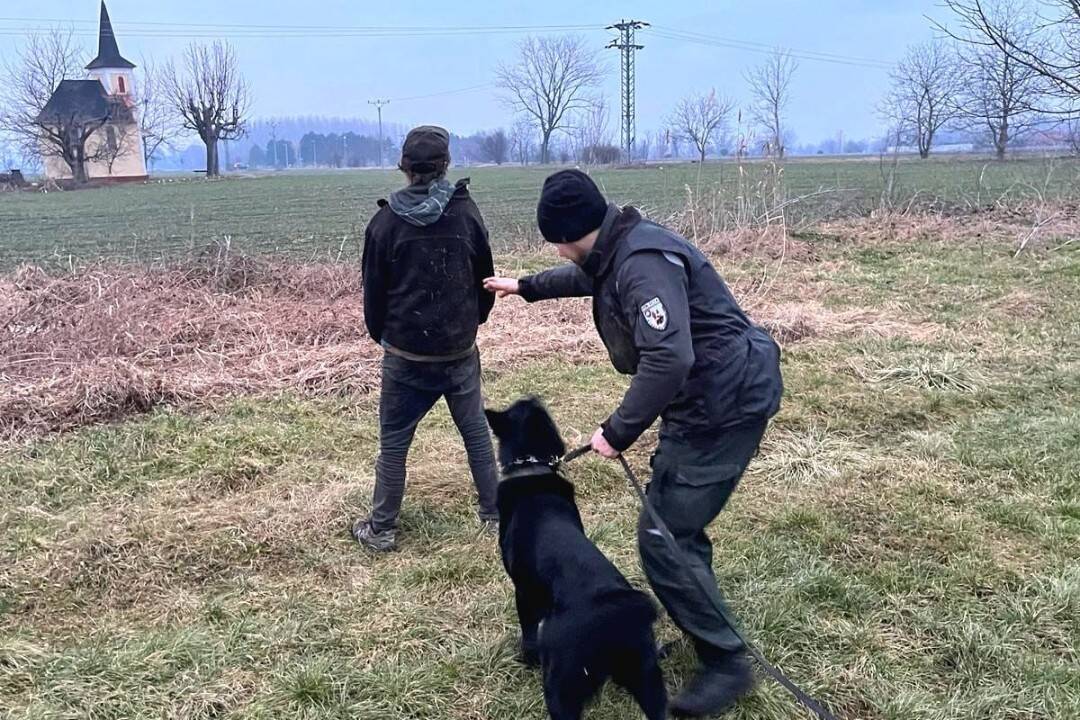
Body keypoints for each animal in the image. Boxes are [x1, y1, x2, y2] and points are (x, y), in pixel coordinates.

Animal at [483, 399, 665, 720]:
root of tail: (612, 612)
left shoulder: (523, 591)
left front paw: (526, 658)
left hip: (561, 688)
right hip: (646, 678)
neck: (532, 468)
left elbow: (528, 630)